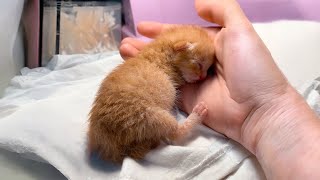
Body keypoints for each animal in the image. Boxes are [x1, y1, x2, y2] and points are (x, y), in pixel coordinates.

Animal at [88, 25, 215, 163]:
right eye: (198, 64)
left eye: (209, 68)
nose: (203, 77)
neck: (162, 53)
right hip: (150, 116)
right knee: (176, 134)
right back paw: (197, 114)